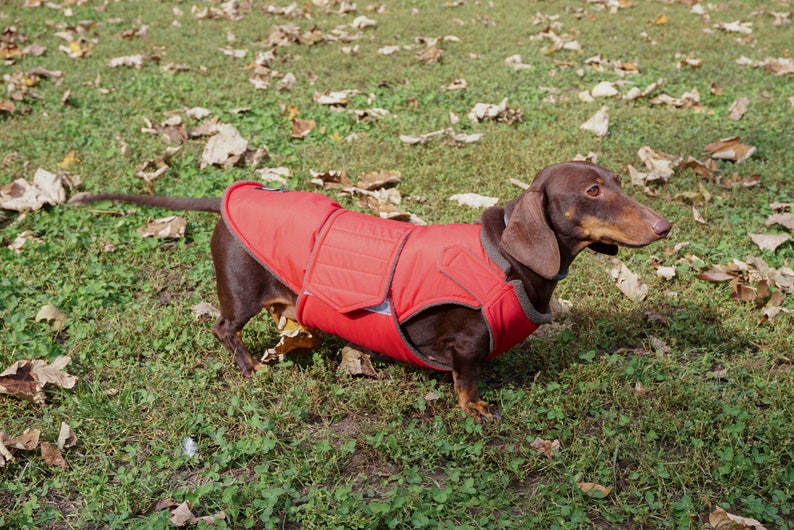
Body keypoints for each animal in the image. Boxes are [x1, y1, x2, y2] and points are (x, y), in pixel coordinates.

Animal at [76, 161, 668, 416]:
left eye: (617, 181)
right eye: (592, 191)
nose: (665, 226)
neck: (506, 262)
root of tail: (230, 198)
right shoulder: (467, 345)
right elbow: (467, 382)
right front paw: (476, 409)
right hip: (238, 292)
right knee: (225, 328)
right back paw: (249, 369)